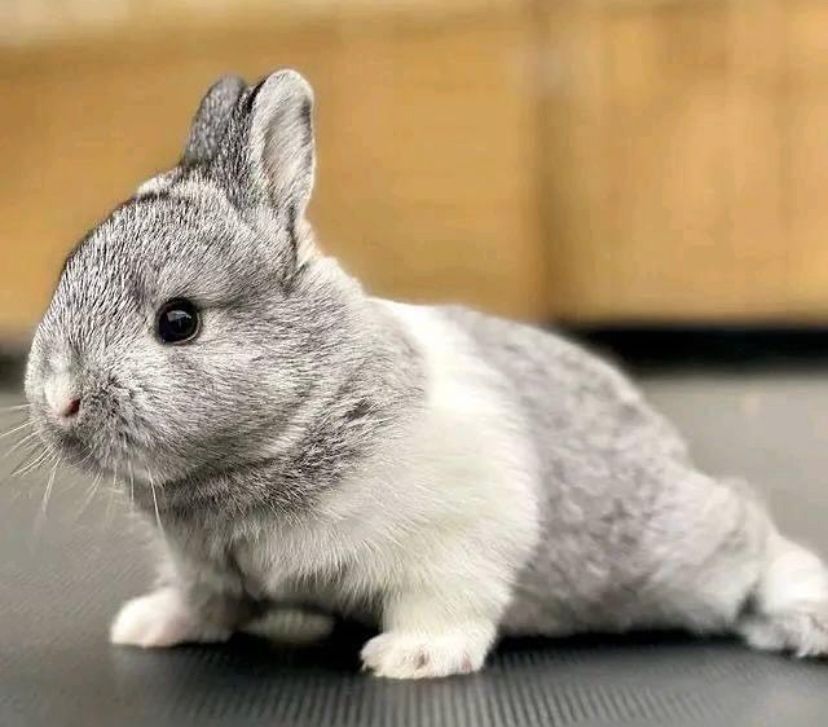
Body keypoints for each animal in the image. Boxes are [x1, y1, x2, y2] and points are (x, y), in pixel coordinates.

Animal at [22, 71, 828, 680]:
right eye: (67, 271)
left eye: (179, 320)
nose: (60, 400)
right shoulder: (206, 570)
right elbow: (202, 603)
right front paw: (146, 625)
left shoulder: (455, 546)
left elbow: (444, 606)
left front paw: (408, 659)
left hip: (691, 545)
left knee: (755, 541)